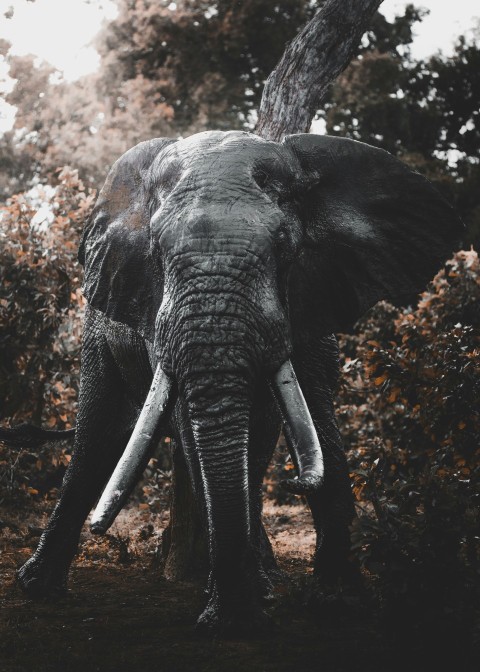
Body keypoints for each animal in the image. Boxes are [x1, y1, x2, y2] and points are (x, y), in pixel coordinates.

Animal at [15, 131, 464, 636]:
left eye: (284, 245)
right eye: (157, 252)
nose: (297, 482)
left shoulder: (313, 298)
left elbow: (320, 423)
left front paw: (339, 600)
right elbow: (192, 429)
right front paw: (234, 613)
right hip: (98, 330)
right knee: (99, 439)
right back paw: (38, 587)